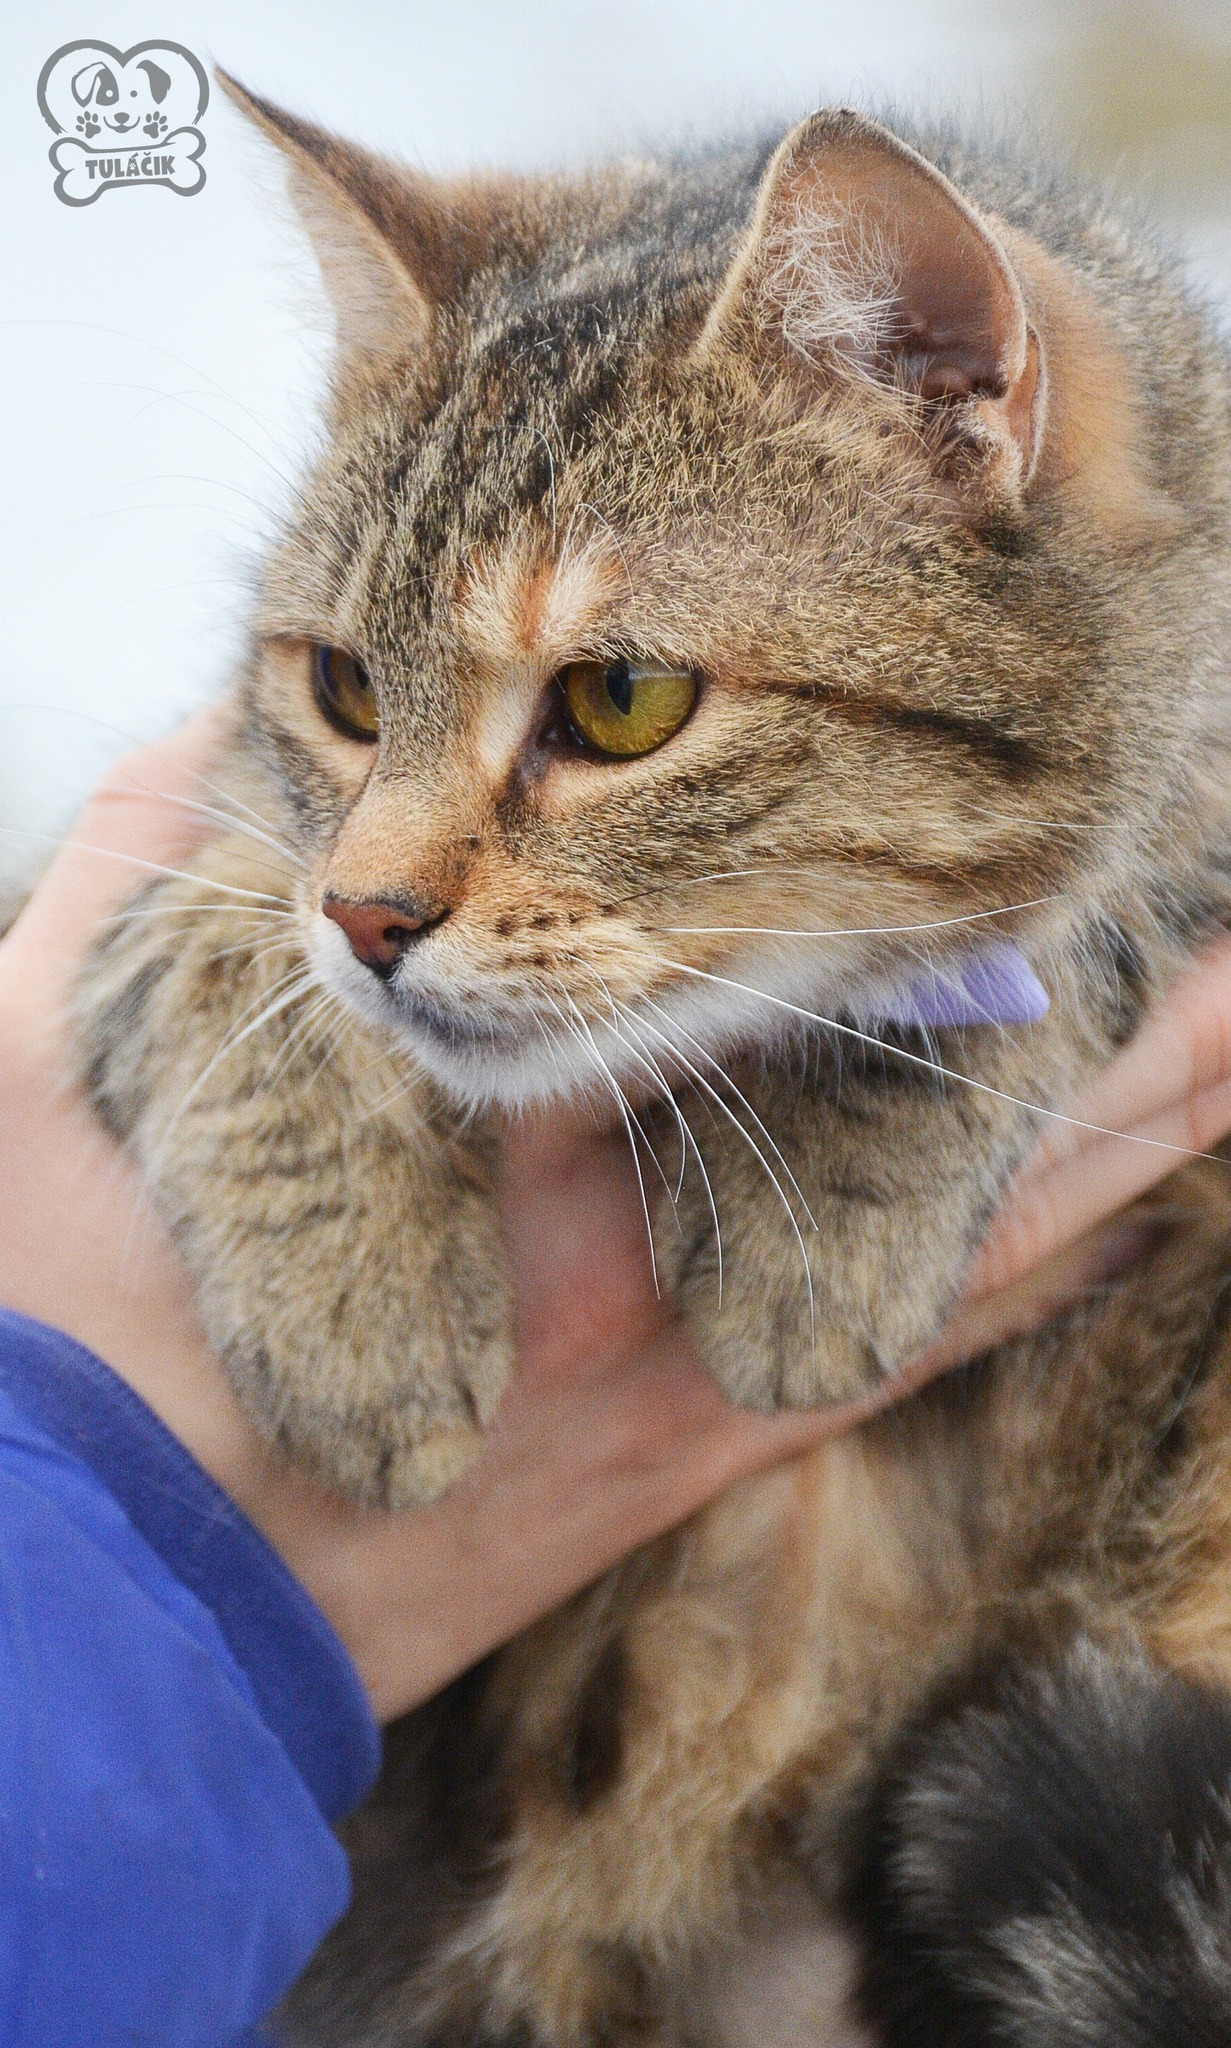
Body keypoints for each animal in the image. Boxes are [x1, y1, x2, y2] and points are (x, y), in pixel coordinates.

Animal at [76, 71, 1231, 2046]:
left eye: (621, 704)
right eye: (342, 690)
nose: (371, 915)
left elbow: (1070, 910)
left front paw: (824, 1212)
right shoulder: (183, 847)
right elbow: (217, 941)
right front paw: (355, 1308)